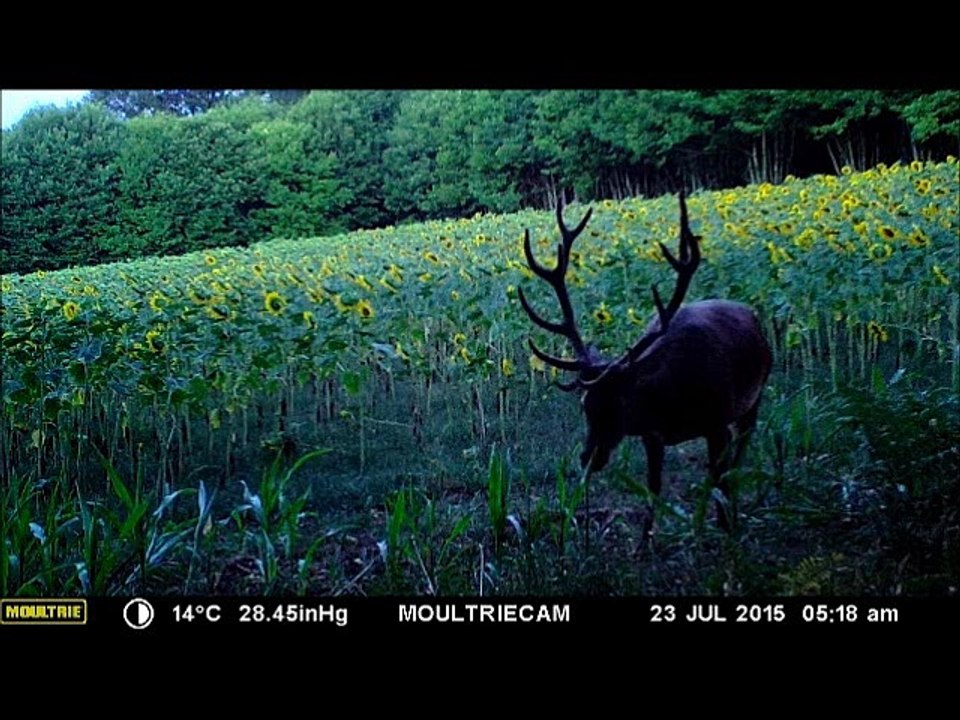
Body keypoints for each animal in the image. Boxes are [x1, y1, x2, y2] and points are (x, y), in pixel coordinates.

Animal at [517, 192, 772, 531]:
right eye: (584, 406)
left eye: (618, 406)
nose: (588, 458)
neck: (671, 405)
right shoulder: (653, 436)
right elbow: (653, 490)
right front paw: (646, 539)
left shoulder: (718, 424)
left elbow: (720, 477)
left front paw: (725, 525)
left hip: (754, 399)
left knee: (739, 455)